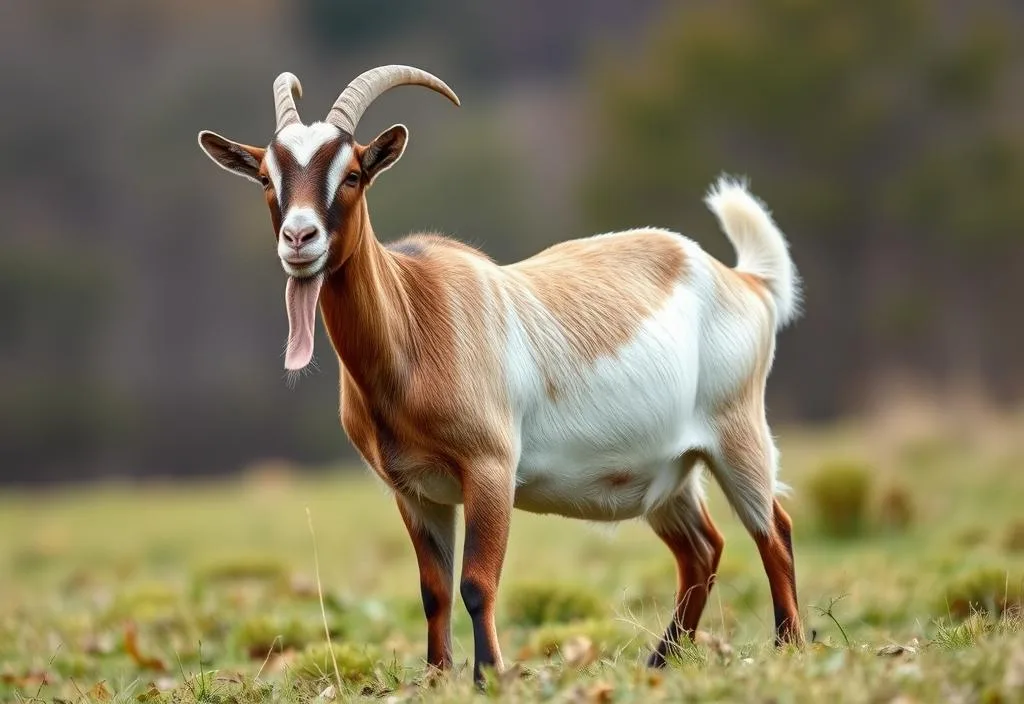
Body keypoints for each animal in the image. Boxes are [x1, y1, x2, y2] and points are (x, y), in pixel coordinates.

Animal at [197, 64, 806, 683]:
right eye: (266, 178)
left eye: (352, 174)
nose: (299, 239)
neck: (415, 317)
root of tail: (744, 280)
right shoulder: (415, 492)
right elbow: (434, 591)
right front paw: (438, 678)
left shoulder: (489, 469)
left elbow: (475, 584)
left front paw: (488, 676)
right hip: (670, 474)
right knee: (702, 550)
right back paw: (659, 662)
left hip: (737, 433)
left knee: (773, 530)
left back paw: (790, 648)